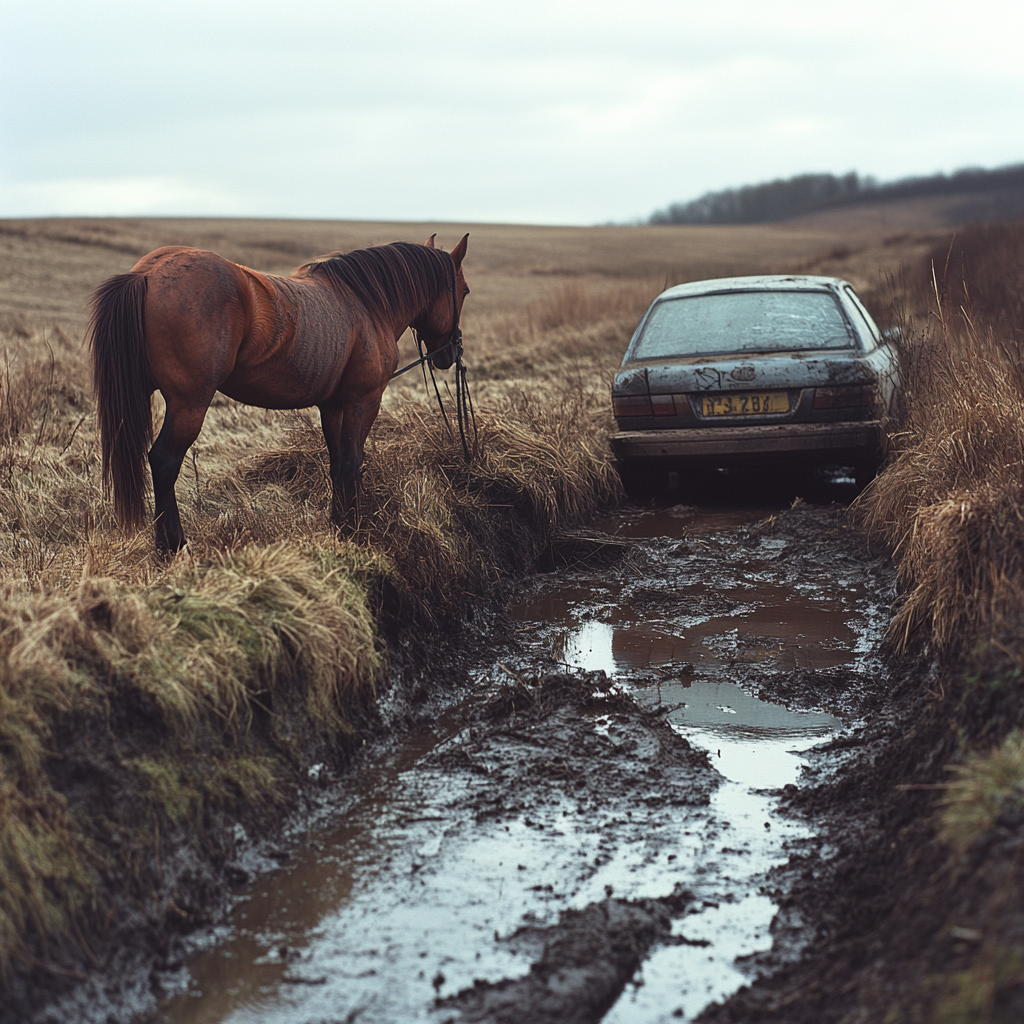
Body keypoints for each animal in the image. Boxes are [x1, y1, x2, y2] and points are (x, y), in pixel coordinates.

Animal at [89, 233, 470, 553]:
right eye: (464, 292)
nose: (451, 353)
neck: (366, 304)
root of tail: (149, 272)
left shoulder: (333, 406)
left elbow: (337, 464)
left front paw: (338, 523)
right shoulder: (364, 401)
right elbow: (352, 462)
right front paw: (353, 530)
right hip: (189, 404)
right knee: (164, 461)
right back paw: (173, 545)